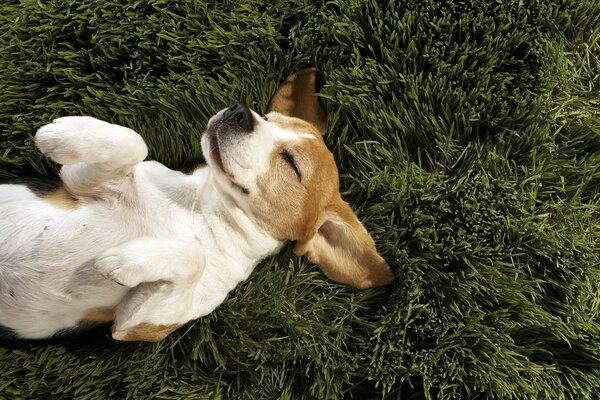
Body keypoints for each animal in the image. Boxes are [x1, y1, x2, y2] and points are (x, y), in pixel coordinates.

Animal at [0, 68, 394, 340]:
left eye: (292, 164)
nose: (240, 111)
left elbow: (193, 256)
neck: (203, 215)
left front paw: (129, 258)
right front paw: (66, 131)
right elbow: (134, 140)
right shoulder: (78, 181)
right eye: (268, 119)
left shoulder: (137, 324)